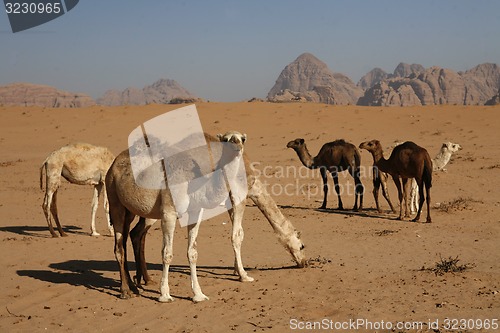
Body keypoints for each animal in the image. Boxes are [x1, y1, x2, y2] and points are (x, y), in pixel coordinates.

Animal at [107, 131, 306, 300]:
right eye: (302, 245)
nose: (305, 262)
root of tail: (113, 163)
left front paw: (234, 271)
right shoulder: (238, 196)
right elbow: (237, 235)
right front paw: (242, 274)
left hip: (132, 209)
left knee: (133, 235)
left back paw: (140, 283)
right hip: (119, 203)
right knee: (124, 241)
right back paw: (127, 290)